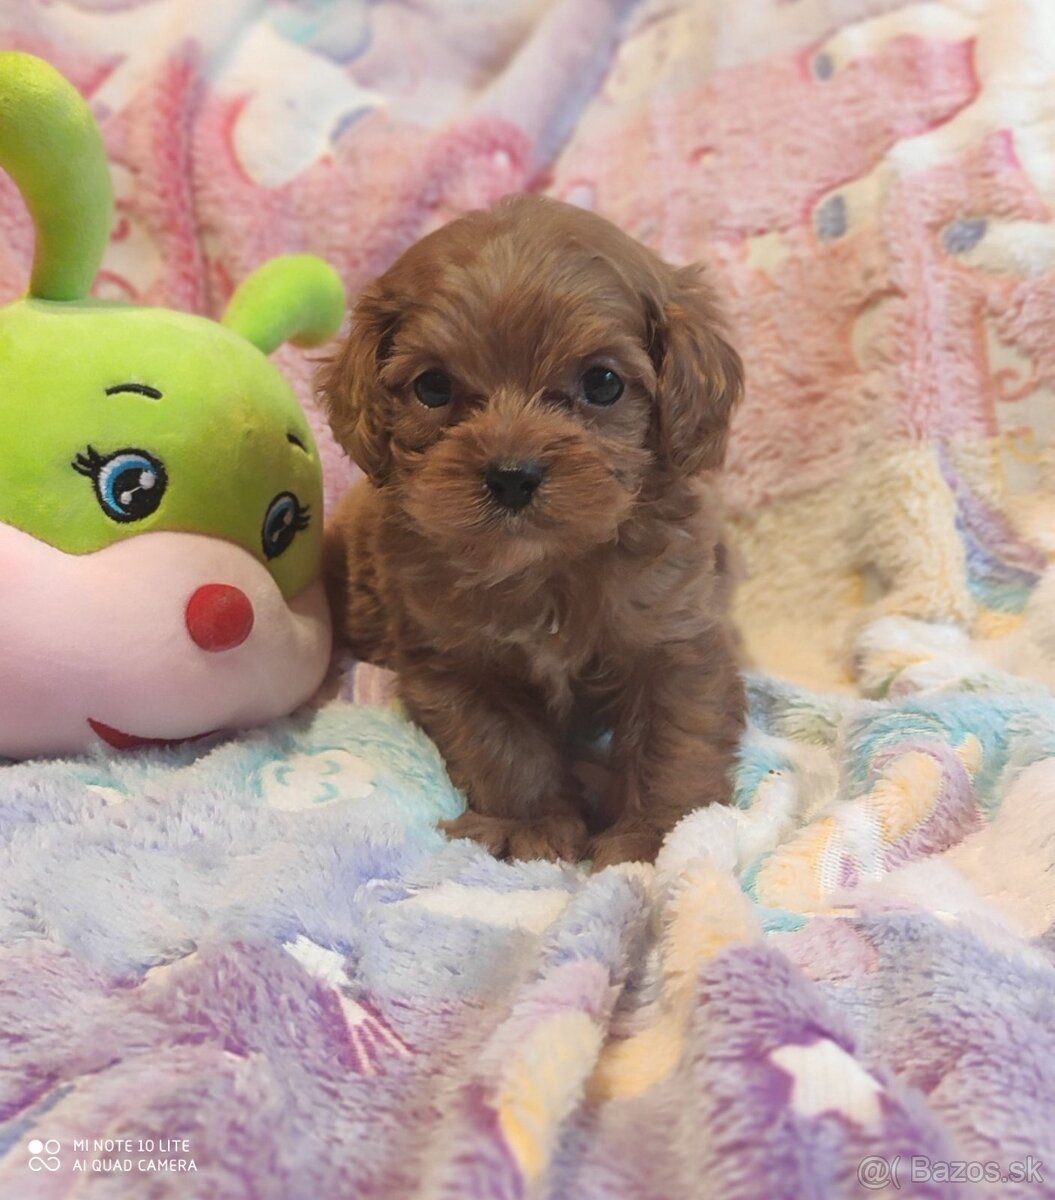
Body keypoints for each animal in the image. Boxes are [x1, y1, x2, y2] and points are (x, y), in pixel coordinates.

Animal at [316, 199, 748, 873]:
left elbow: (673, 741)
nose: (512, 476)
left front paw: (657, 834)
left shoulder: (674, 640)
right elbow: (504, 747)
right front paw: (529, 825)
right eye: (433, 387)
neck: (545, 567)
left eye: (602, 383)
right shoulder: (458, 663)